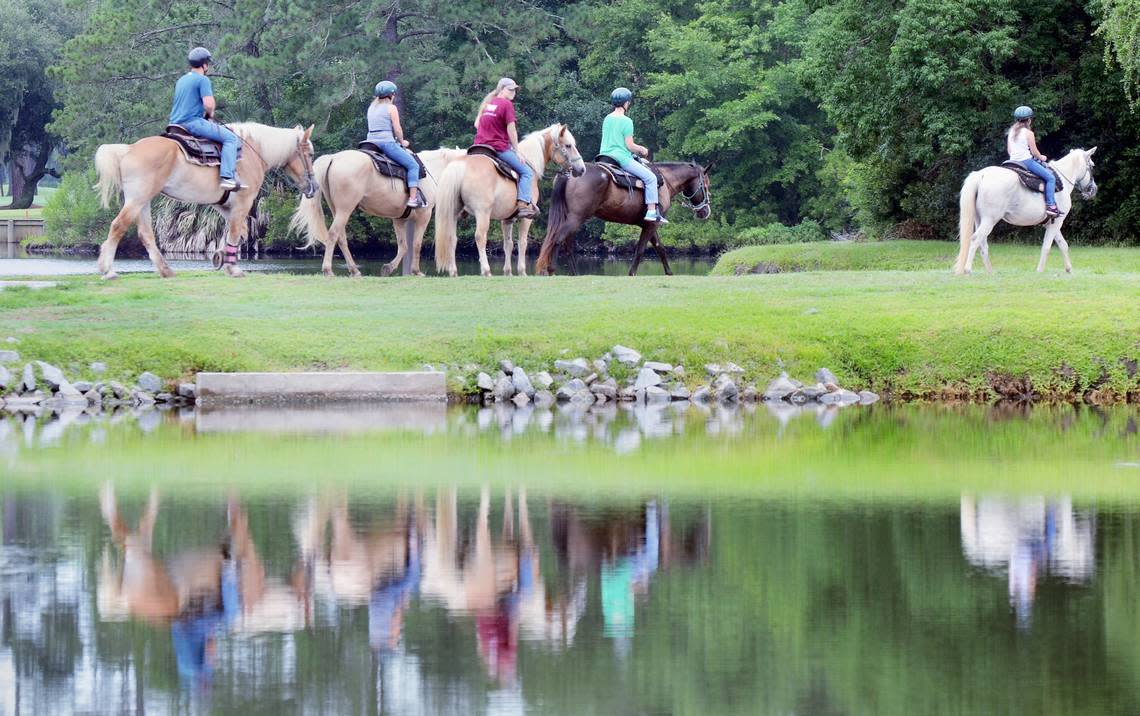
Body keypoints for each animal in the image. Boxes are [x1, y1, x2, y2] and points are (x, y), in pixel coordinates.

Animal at [92, 121, 316, 278]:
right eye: (310, 154)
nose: (313, 186)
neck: (251, 152)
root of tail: (128, 149)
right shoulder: (243, 201)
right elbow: (235, 231)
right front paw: (233, 269)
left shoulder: (223, 205)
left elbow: (238, 232)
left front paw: (225, 259)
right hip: (136, 199)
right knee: (118, 225)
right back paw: (108, 270)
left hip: (143, 201)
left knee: (146, 234)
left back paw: (165, 270)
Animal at [289, 145, 467, 277]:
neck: (431, 169)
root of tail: (333, 158)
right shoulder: (425, 214)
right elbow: (416, 244)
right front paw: (416, 271)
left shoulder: (399, 219)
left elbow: (403, 246)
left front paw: (388, 268)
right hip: (345, 209)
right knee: (333, 234)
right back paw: (328, 270)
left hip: (337, 210)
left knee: (341, 237)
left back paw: (354, 270)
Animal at [430, 124, 583, 275]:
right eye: (568, 145)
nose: (581, 169)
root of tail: (460, 166)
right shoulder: (526, 218)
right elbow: (522, 242)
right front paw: (522, 271)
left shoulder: (507, 219)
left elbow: (508, 244)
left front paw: (508, 272)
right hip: (482, 213)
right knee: (480, 237)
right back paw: (486, 270)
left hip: (453, 214)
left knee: (451, 238)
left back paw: (453, 271)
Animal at [535, 160, 711, 275]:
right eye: (705, 185)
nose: (705, 212)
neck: (665, 182)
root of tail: (568, 173)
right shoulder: (651, 225)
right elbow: (641, 249)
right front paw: (632, 273)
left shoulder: (649, 224)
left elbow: (660, 248)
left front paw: (669, 273)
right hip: (576, 218)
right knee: (557, 239)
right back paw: (551, 270)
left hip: (573, 218)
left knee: (567, 245)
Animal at [953, 147, 1094, 275]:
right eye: (1092, 166)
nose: (1093, 189)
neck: (1062, 179)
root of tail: (981, 175)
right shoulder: (1058, 221)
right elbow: (1047, 246)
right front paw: (1040, 270)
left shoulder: (1052, 223)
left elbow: (1063, 244)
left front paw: (1069, 269)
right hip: (989, 220)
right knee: (975, 239)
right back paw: (967, 269)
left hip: (979, 219)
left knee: (982, 243)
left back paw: (989, 271)